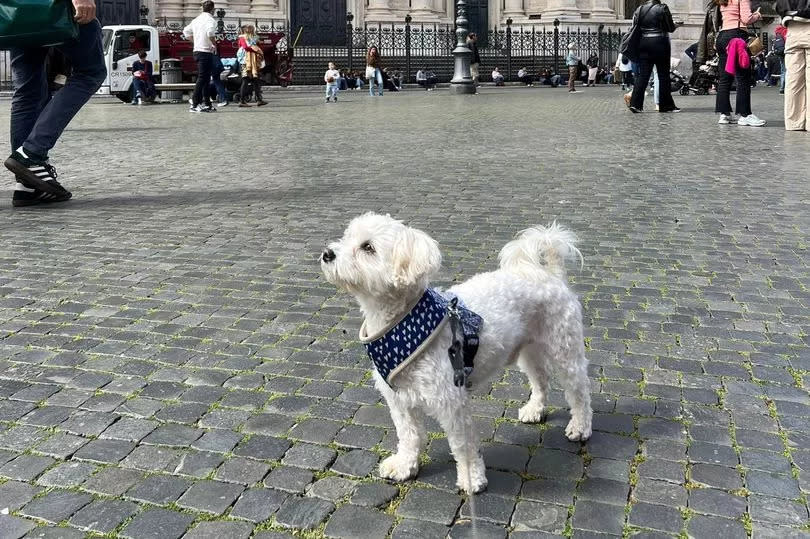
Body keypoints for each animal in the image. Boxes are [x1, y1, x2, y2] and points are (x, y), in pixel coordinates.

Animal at [318, 213, 592, 496]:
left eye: (368, 247)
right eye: (346, 237)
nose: (327, 253)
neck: (399, 324)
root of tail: (550, 274)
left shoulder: (451, 401)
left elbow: (463, 445)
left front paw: (472, 478)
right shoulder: (399, 400)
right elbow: (409, 436)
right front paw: (405, 465)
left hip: (564, 348)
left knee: (579, 391)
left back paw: (580, 427)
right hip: (529, 351)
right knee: (540, 379)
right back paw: (535, 410)